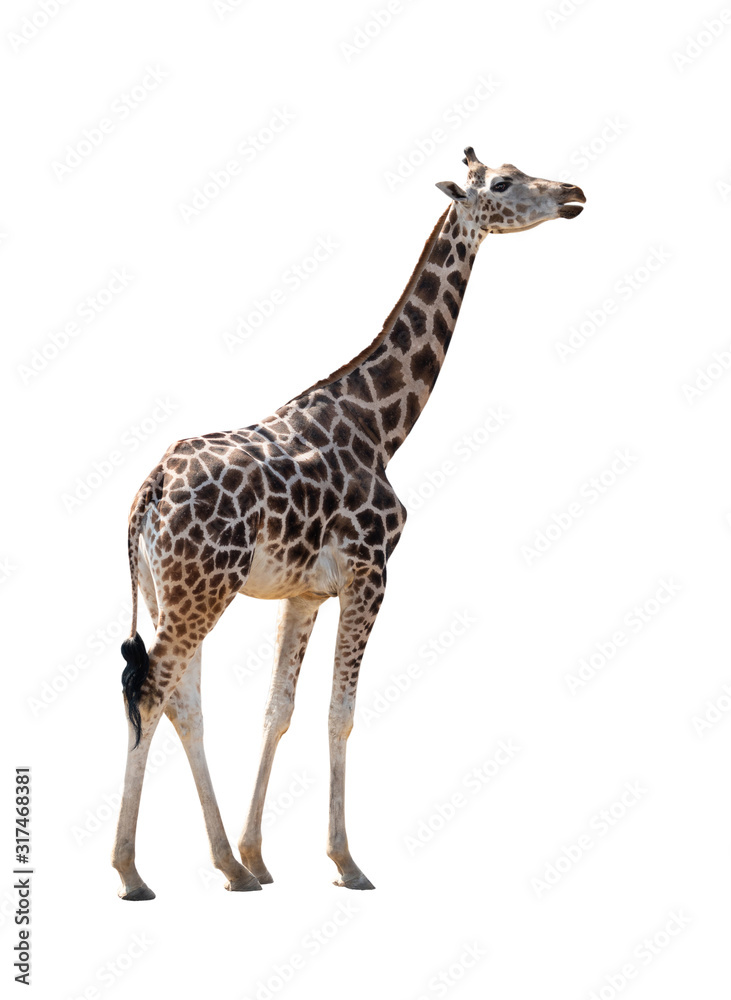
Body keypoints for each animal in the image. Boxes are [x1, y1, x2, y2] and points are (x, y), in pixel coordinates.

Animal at [112, 147, 586, 899]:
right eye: (504, 182)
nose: (573, 193)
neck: (380, 426)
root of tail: (150, 491)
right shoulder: (371, 571)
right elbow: (341, 713)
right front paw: (346, 862)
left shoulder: (305, 591)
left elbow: (278, 711)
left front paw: (257, 856)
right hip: (201, 589)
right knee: (152, 690)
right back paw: (131, 872)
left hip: (171, 592)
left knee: (180, 701)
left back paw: (226, 869)